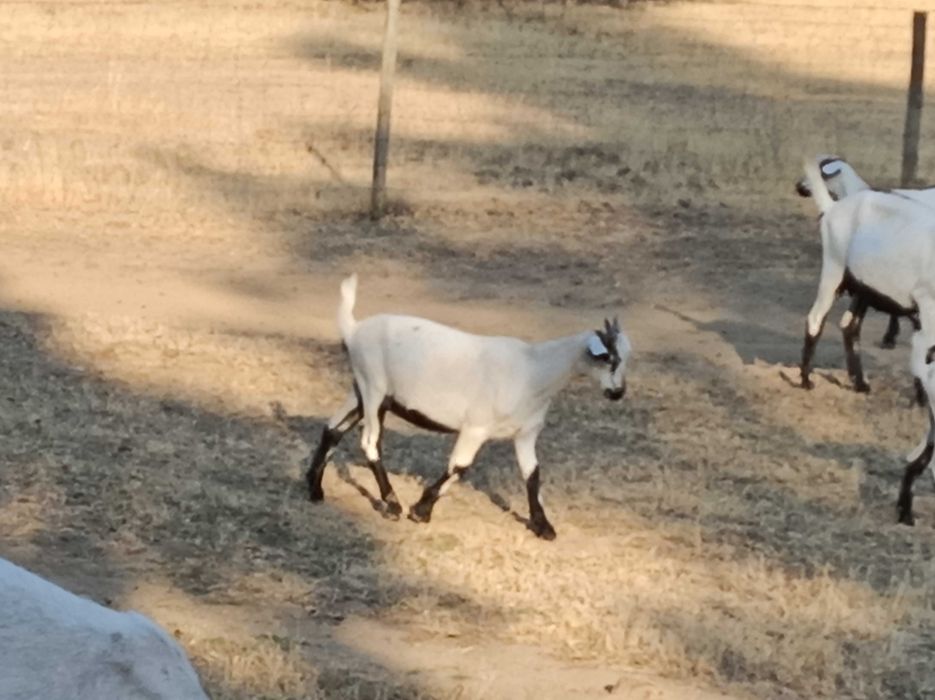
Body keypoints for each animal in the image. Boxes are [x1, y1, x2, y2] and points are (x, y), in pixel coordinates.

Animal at [306, 274, 631, 540]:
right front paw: (420, 510)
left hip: (362, 391)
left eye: (626, 358)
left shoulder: (525, 433)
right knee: (369, 442)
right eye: (607, 358)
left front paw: (543, 526)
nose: (617, 392)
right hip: (373, 387)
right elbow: (460, 466)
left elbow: (532, 474)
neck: (534, 369)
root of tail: (354, 330)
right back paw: (392, 503)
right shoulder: (476, 427)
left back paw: (314, 488)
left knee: (332, 429)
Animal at [798, 158, 928, 398]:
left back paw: (860, 382)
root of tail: (832, 208)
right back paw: (806, 380)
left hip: (862, 287)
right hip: (835, 271)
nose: (799, 187)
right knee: (817, 318)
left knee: (849, 325)